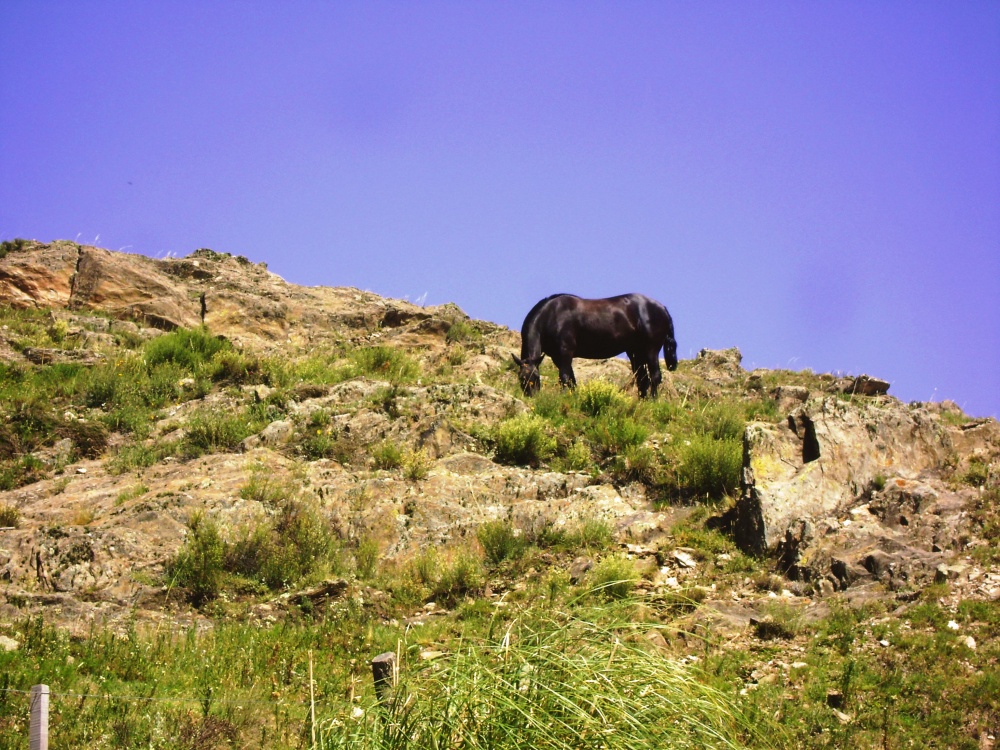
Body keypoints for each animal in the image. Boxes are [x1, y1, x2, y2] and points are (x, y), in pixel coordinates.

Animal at [512, 294, 676, 400]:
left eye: (536, 376)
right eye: (521, 377)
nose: (531, 396)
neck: (552, 315)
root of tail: (662, 308)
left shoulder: (565, 352)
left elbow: (564, 377)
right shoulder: (557, 357)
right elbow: (571, 380)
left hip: (651, 350)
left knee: (655, 377)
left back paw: (653, 401)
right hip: (636, 353)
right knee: (643, 379)